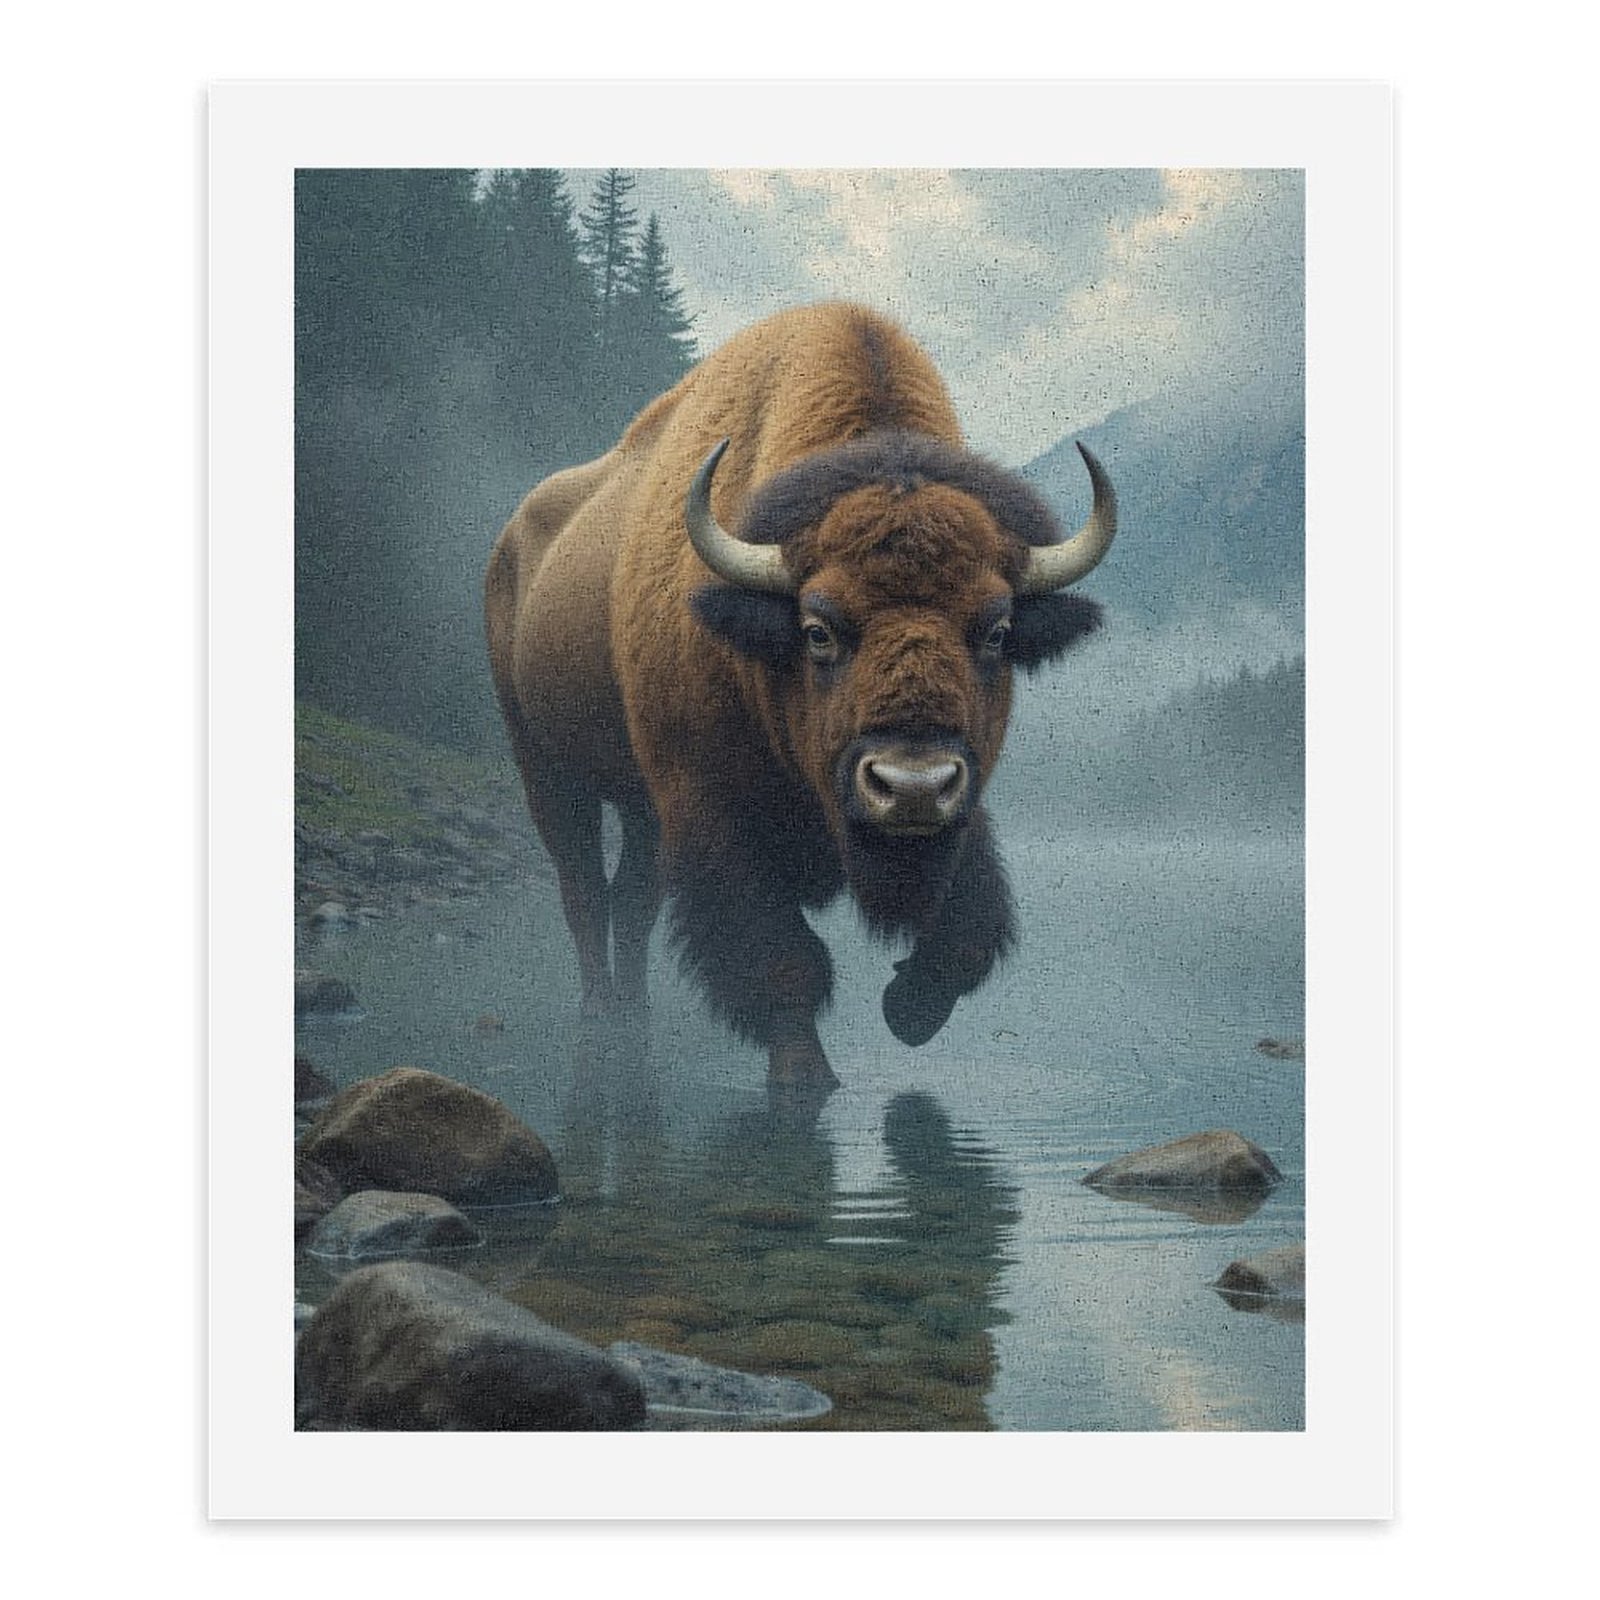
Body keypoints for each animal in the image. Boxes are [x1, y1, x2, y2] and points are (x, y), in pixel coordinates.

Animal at [486, 302, 1117, 1088]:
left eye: (998, 630)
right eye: (817, 630)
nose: (911, 787)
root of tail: (510, 545)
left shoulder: (963, 803)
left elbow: (965, 939)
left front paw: (907, 1008)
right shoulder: (709, 803)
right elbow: (782, 961)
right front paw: (805, 1076)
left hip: (638, 805)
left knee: (632, 902)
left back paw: (634, 1014)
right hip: (547, 769)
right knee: (584, 894)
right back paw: (603, 1019)